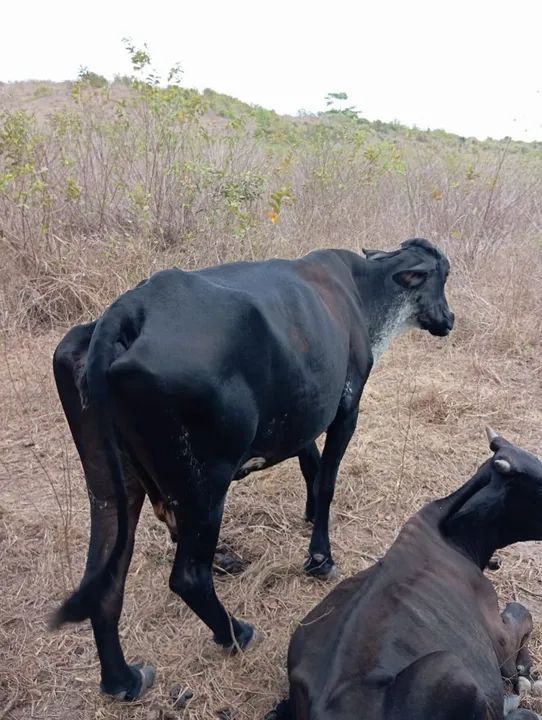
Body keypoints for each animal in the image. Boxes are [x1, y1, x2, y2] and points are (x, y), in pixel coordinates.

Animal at [51, 238, 453, 700]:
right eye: (442, 275)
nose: (449, 319)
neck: (361, 289)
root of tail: (128, 309)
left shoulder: (301, 414)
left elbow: (311, 466)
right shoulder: (346, 407)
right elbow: (327, 480)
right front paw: (320, 557)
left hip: (109, 487)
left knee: (105, 583)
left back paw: (124, 679)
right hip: (204, 486)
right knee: (188, 577)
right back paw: (235, 633)